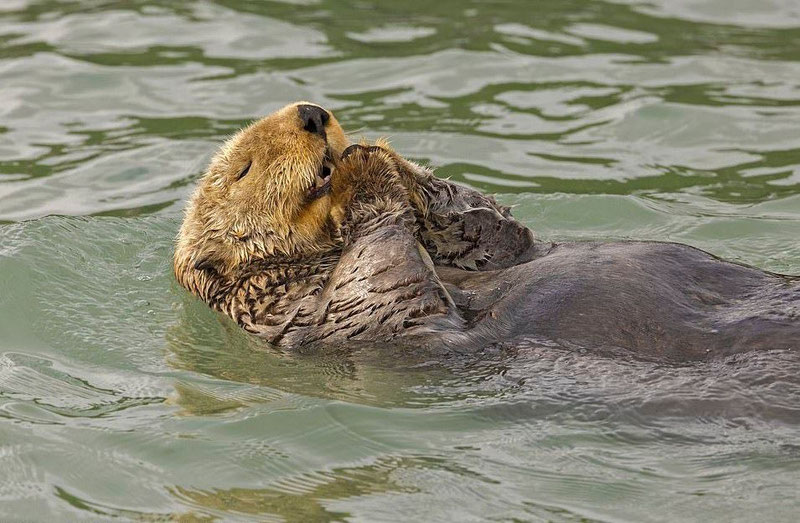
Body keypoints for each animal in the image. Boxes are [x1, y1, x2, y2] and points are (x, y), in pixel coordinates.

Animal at [175, 104, 800, 362]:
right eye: (243, 169)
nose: (312, 113)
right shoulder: (298, 312)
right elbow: (385, 286)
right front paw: (364, 175)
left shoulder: (496, 248)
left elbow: (497, 232)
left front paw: (376, 154)